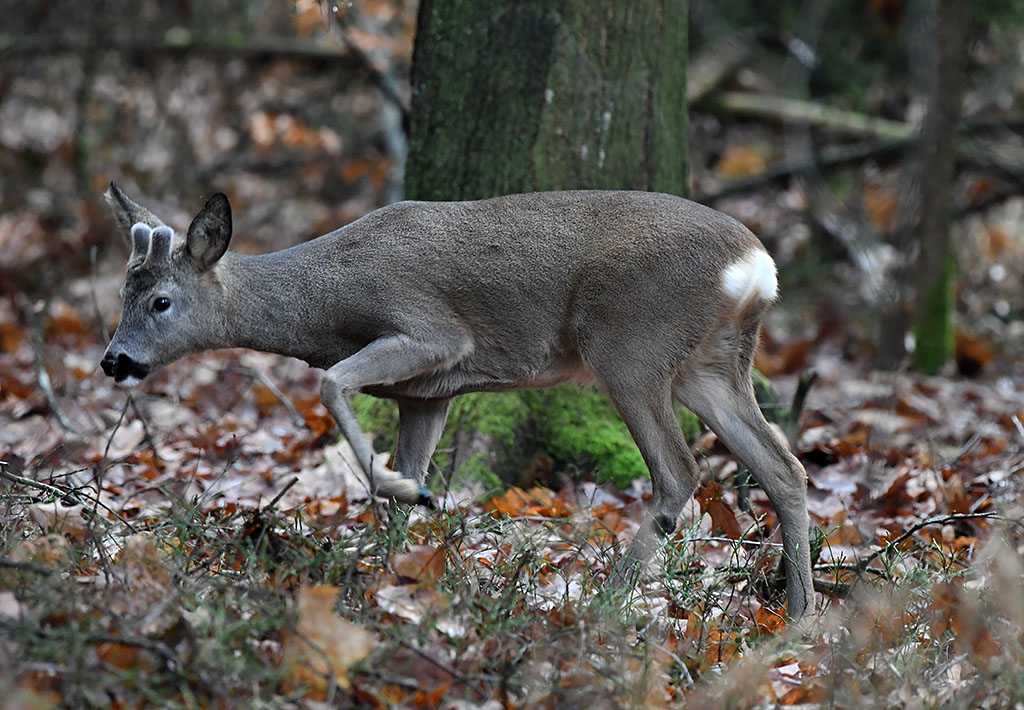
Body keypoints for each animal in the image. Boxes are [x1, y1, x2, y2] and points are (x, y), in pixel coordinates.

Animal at [97, 182, 815, 614]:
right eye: (123, 293)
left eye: (161, 302)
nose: (113, 359)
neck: (325, 306)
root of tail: (757, 265)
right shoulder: (425, 396)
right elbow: (401, 476)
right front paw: (388, 566)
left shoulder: (433, 333)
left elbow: (332, 384)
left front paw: (402, 494)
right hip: (709, 364)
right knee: (785, 466)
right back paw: (801, 616)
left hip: (630, 346)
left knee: (679, 471)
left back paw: (602, 602)